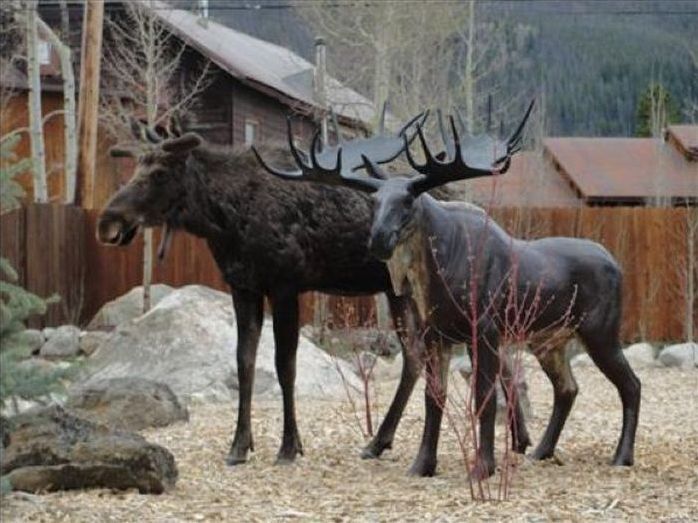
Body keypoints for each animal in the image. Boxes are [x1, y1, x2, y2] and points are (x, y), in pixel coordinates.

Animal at [256, 100, 640, 482]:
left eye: (408, 202)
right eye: (374, 202)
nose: (378, 239)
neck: (438, 278)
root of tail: (619, 266)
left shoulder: (484, 330)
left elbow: (484, 396)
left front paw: (483, 468)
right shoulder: (434, 334)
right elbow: (433, 396)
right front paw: (422, 465)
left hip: (600, 330)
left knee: (631, 384)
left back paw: (621, 456)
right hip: (548, 340)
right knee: (568, 388)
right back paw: (542, 451)